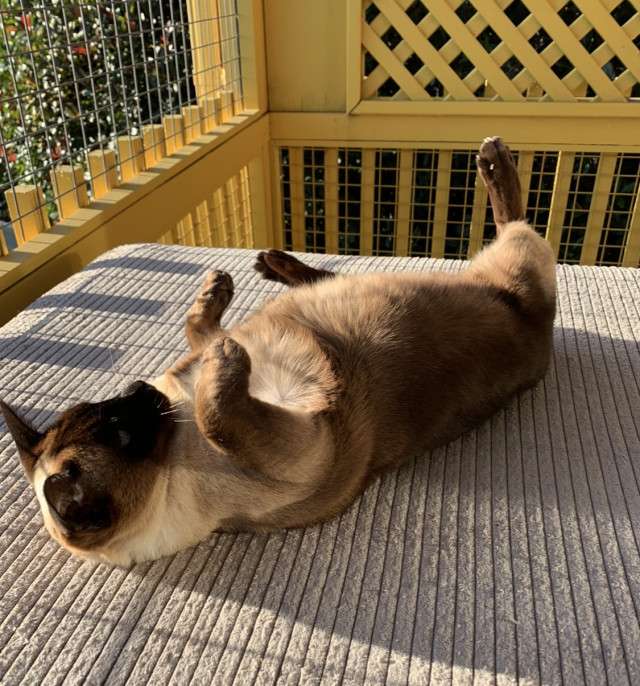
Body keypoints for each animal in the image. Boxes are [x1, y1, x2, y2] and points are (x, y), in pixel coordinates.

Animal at [0, 137, 556, 566]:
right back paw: (493, 159)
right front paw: (226, 357)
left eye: (109, 408)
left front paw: (217, 299)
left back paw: (271, 264)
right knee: (516, 221)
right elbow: (217, 413)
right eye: (121, 429)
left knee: (336, 273)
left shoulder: (208, 365)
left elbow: (200, 328)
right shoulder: (293, 431)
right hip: (521, 263)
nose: (139, 390)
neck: (175, 427)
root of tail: (537, 334)